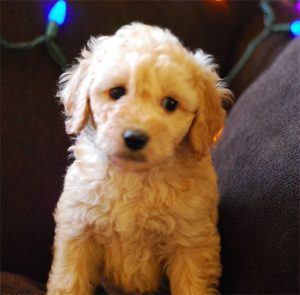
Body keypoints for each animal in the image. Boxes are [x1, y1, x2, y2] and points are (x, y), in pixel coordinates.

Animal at [47, 23, 231, 295]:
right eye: (116, 92)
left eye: (170, 103)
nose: (135, 138)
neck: (133, 177)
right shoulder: (78, 228)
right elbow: (69, 281)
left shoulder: (190, 240)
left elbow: (191, 284)